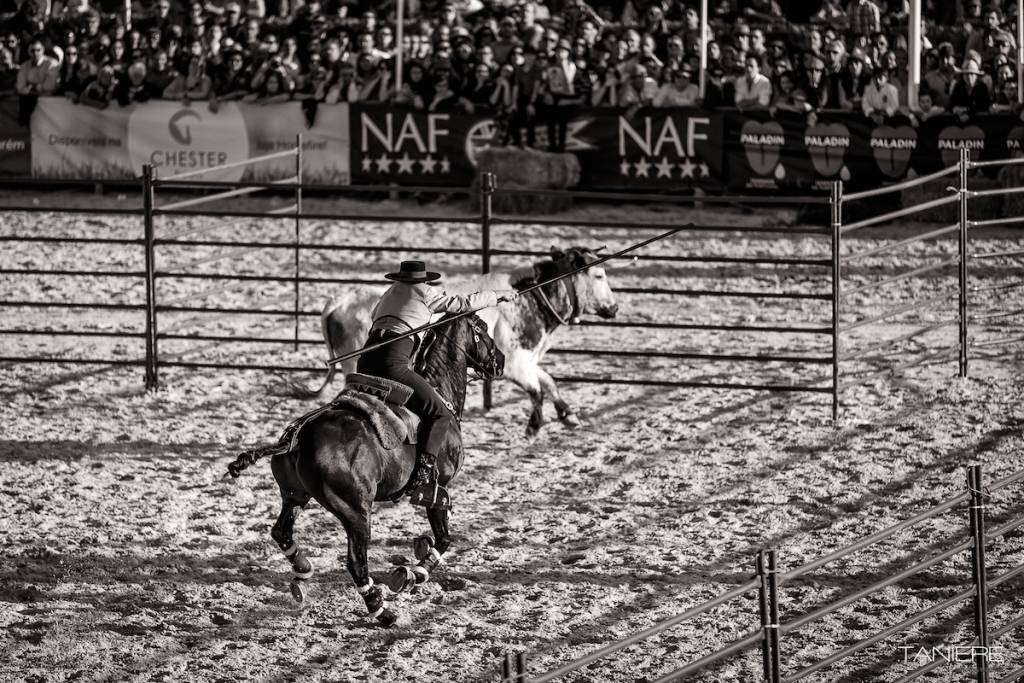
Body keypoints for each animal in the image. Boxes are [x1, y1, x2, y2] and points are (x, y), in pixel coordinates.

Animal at [228, 312, 505, 627]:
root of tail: (296, 438)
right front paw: (415, 573)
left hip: (295, 495)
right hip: (356, 512)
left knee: (281, 532)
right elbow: (444, 538)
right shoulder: (438, 491)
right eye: (483, 329)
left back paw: (303, 570)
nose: (500, 360)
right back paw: (381, 610)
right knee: (356, 563)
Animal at [286, 247, 619, 436]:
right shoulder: (515, 362)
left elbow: (548, 381)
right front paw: (533, 428)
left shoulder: (527, 359)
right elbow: (537, 389)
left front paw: (569, 415)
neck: (530, 298)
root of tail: (338, 302)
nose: (615, 308)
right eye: (599, 275)